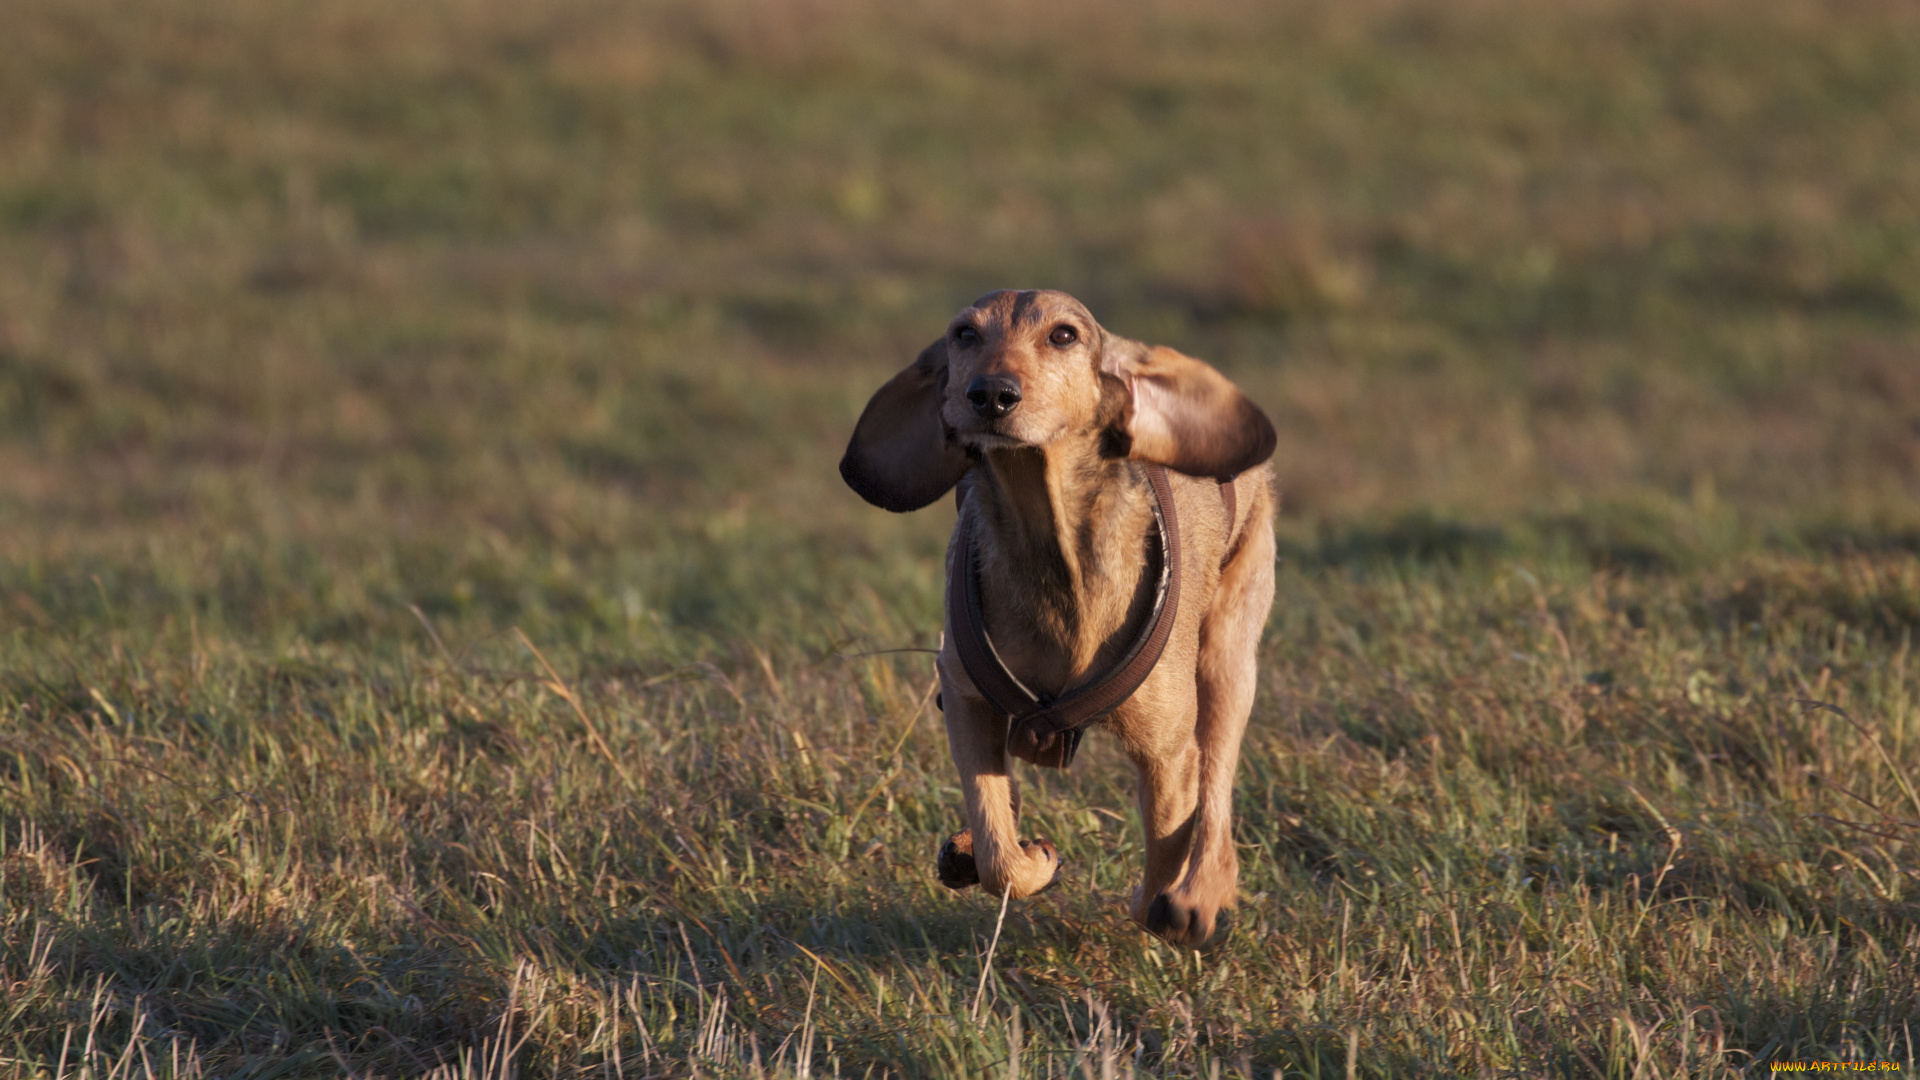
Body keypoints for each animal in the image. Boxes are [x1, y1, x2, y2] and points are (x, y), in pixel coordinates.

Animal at [840, 288, 1274, 941]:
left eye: (1064, 335)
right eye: (965, 334)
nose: (992, 393)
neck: (1050, 543)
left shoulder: (1167, 755)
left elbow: (1162, 860)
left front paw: (1164, 902)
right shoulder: (964, 699)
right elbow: (998, 847)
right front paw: (1023, 858)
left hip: (1228, 659)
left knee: (1217, 789)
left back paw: (1202, 895)